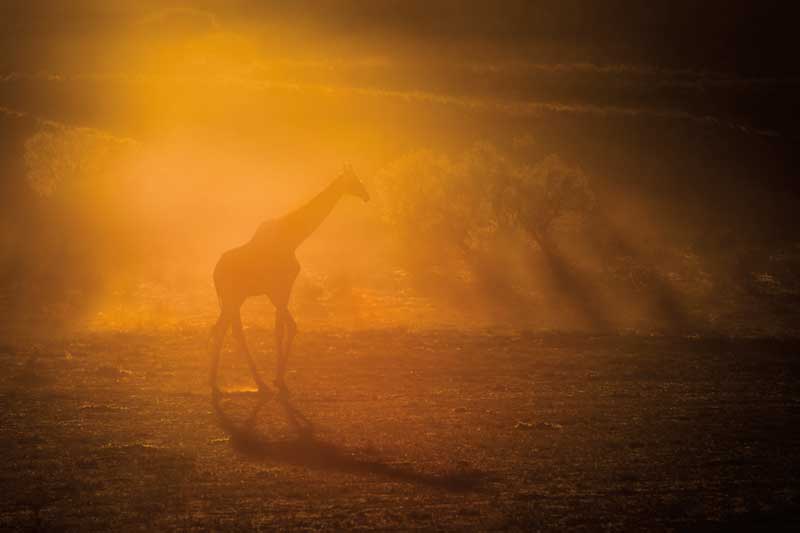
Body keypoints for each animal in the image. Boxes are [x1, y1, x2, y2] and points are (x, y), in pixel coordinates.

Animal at [206, 166, 368, 394]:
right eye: (354, 180)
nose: (366, 195)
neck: (293, 238)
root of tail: (214, 273)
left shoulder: (277, 292)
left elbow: (286, 328)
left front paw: (278, 378)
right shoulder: (282, 289)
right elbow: (285, 329)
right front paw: (279, 379)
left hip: (235, 300)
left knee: (227, 331)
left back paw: (228, 382)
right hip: (232, 299)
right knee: (225, 331)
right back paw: (247, 383)